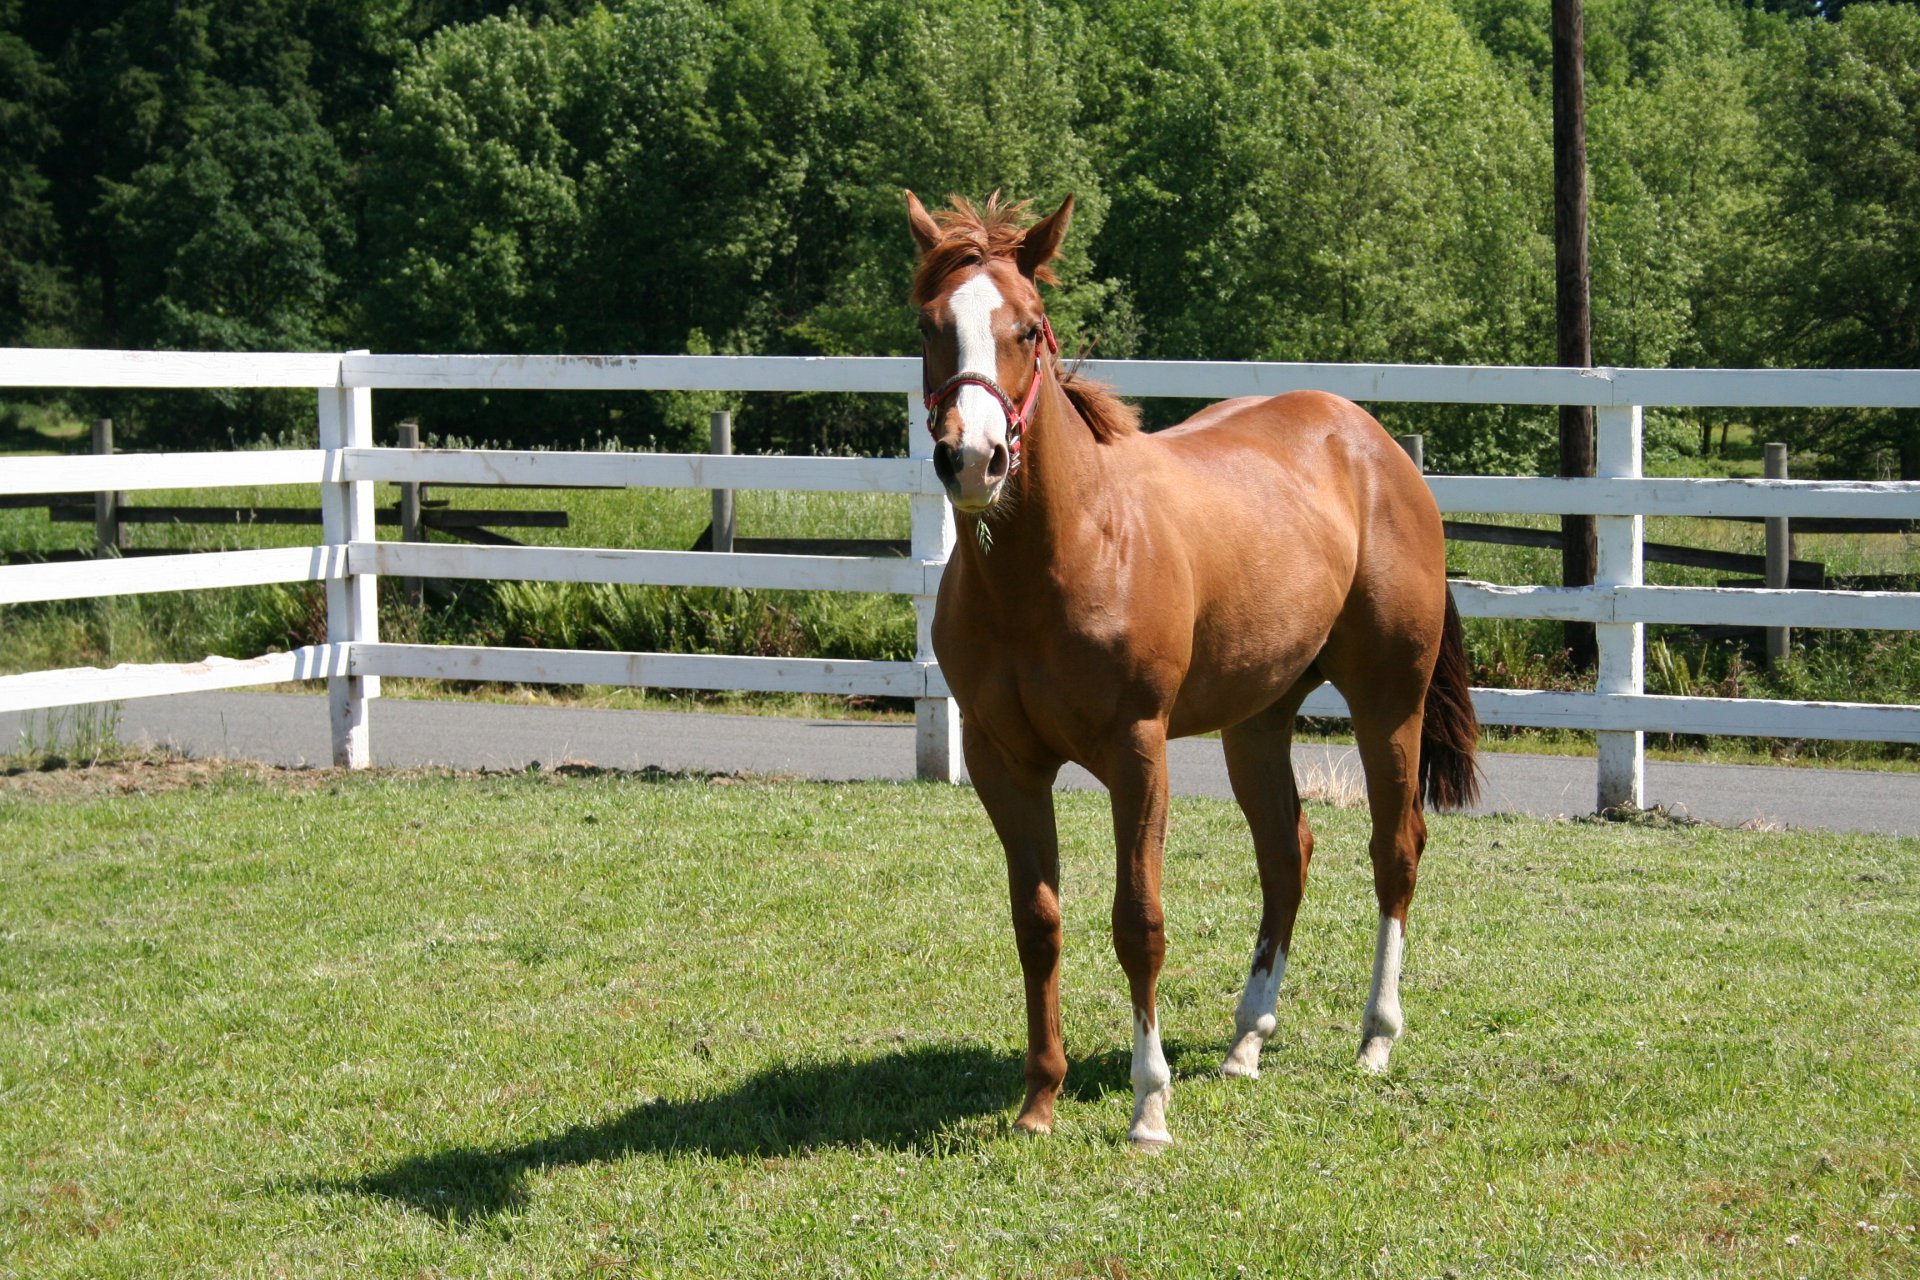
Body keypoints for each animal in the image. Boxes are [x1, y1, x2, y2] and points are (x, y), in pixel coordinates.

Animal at [906, 190, 1480, 1148]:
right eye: (930, 325)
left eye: (1027, 326)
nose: (973, 459)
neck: (1062, 555)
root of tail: (1376, 445)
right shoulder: (1002, 761)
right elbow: (1037, 922)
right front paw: (1039, 1100)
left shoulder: (1139, 753)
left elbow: (1138, 924)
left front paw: (1149, 1106)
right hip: (1258, 721)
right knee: (1287, 855)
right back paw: (1248, 1038)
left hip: (1388, 703)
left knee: (1394, 850)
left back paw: (1375, 1037)